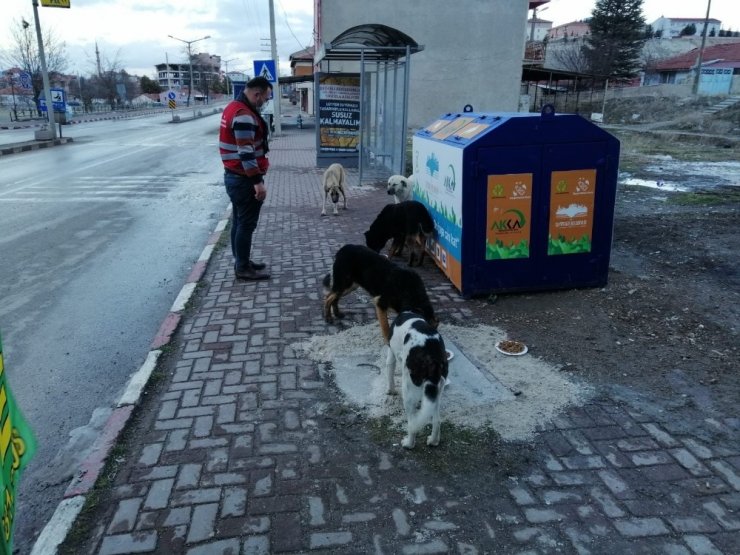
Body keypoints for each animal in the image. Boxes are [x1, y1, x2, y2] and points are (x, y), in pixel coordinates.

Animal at [388, 310, 450, 450]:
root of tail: (433, 359)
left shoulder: (390, 353)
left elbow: (389, 374)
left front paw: (390, 391)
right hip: (436, 392)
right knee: (437, 420)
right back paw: (433, 441)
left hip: (408, 391)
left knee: (412, 424)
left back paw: (408, 444)